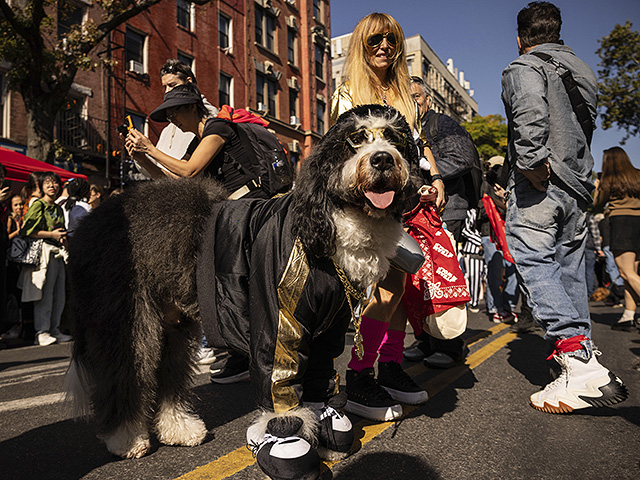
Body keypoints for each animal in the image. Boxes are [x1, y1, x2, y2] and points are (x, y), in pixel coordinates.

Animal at [65, 105, 420, 480]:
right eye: (354, 140)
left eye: (395, 139)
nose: (382, 159)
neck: (328, 221)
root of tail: (88, 224)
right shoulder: (278, 317)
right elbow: (279, 382)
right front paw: (288, 441)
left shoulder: (329, 328)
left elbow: (319, 377)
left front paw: (325, 431)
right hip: (128, 318)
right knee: (126, 372)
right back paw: (126, 437)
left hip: (173, 323)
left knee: (168, 374)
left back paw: (179, 428)